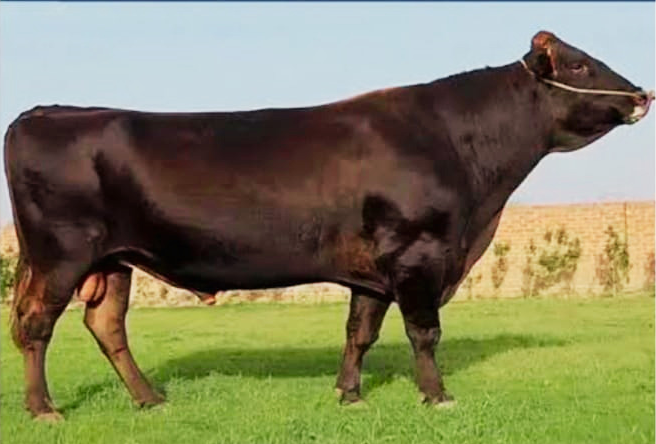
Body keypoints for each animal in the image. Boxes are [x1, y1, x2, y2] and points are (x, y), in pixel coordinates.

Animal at [4, 31, 652, 421]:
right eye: (579, 63)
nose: (641, 93)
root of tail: (46, 111)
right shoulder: (418, 252)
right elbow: (424, 332)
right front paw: (437, 396)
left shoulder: (373, 270)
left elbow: (359, 332)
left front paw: (348, 395)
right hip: (61, 254)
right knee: (37, 325)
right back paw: (44, 409)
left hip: (113, 260)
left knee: (105, 325)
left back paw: (150, 400)